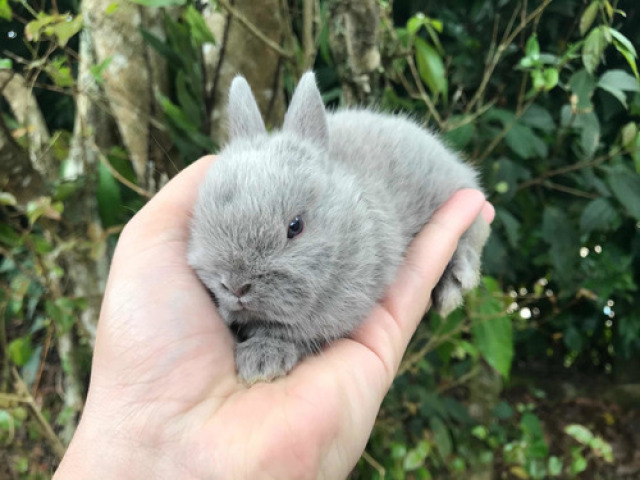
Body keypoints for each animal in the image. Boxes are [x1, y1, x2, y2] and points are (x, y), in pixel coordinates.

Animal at [188, 72, 488, 382]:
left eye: (295, 226)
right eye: (201, 217)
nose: (236, 286)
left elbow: (293, 335)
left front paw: (261, 362)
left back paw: (454, 286)